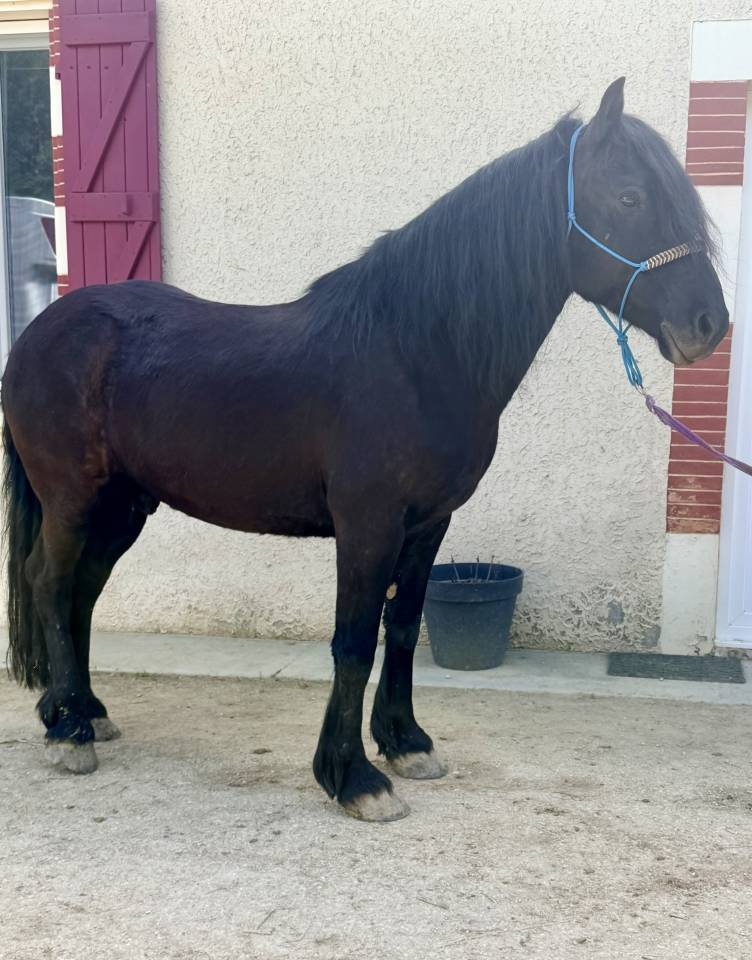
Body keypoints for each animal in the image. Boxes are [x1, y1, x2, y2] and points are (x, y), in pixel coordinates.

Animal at [2, 78, 728, 821]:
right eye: (630, 197)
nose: (709, 323)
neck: (413, 352)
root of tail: (40, 331)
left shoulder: (429, 524)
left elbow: (402, 628)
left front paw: (406, 743)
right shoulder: (368, 524)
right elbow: (352, 642)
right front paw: (353, 777)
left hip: (122, 507)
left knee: (83, 591)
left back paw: (83, 711)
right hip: (72, 499)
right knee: (49, 583)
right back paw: (68, 732)